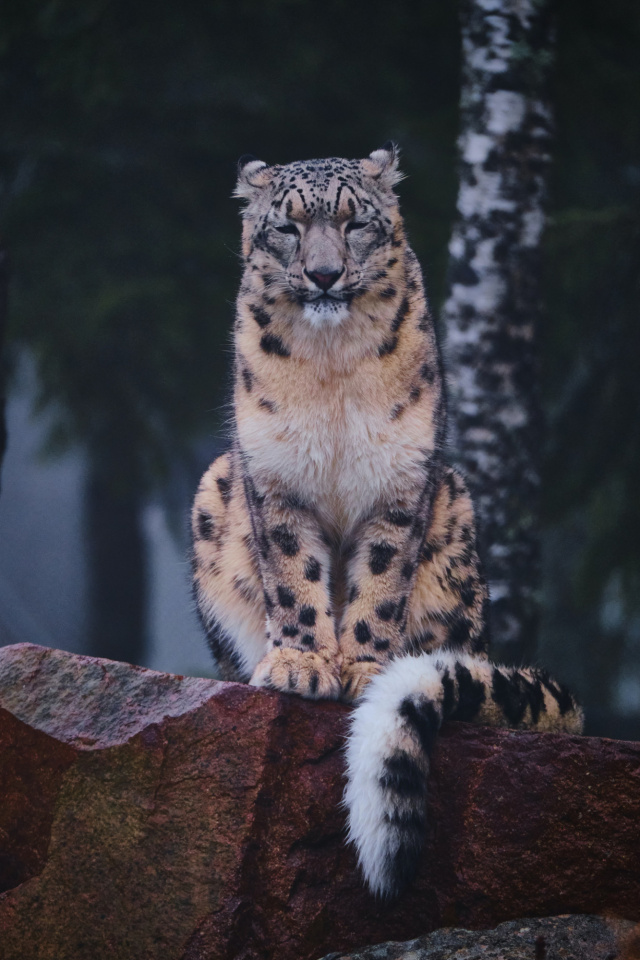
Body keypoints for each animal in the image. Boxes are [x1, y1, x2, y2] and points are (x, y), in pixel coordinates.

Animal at [191, 144, 584, 898]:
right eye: (287, 228)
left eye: (355, 223)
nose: (323, 274)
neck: (331, 367)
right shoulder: (275, 478)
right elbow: (293, 574)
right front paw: (302, 663)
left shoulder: (401, 485)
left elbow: (379, 582)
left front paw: (363, 668)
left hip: (454, 511)